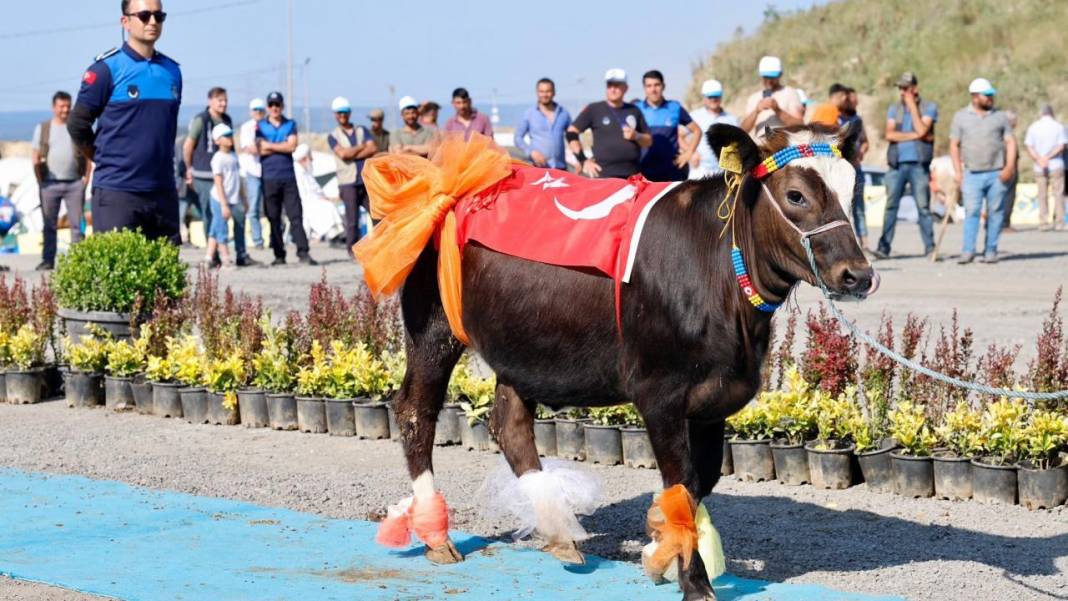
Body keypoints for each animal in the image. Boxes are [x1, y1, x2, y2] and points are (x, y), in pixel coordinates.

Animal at [388, 123, 871, 601]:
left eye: (853, 187)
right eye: (796, 195)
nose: (859, 274)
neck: (720, 277)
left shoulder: (715, 398)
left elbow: (700, 482)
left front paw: (657, 549)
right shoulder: (660, 393)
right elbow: (681, 485)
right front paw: (694, 583)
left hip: (522, 344)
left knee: (510, 423)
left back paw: (558, 531)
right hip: (433, 327)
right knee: (416, 410)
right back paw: (436, 536)